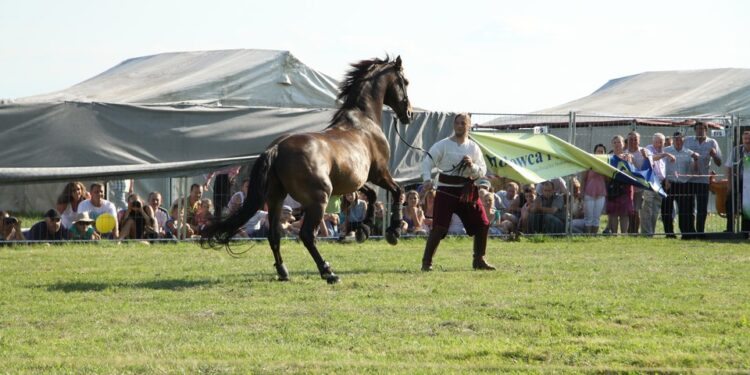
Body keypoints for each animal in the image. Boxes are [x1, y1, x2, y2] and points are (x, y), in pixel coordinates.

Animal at [206, 55, 414, 284]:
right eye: (405, 82)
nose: (409, 114)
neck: (364, 121)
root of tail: (277, 149)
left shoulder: (353, 182)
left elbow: (371, 195)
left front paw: (364, 230)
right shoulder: (379, 173)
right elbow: (397, 191)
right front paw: (393, 231)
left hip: (276, 197)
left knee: (274, 234)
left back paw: (283, 271)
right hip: (318, 200)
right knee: (306, 235)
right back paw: (328, 272)